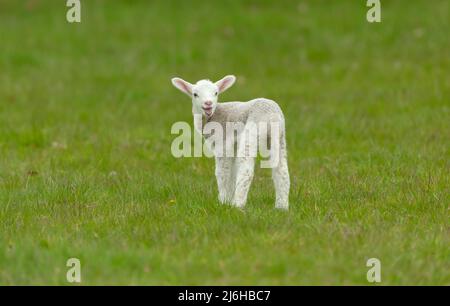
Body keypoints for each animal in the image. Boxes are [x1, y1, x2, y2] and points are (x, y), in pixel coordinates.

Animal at [171, 75, 290, 209]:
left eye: (216, 93)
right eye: (195, 94)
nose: (208, 103)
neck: (213, 116)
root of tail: (272, 116)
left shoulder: (223, 144)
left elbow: (223, 172)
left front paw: (223, 201)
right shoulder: (233, 146)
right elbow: (232, 172)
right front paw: (227, 199)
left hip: (252, 132)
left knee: (246, 169)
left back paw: (237, 204)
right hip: (279, 137)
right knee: (282, 170)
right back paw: (281, 207)